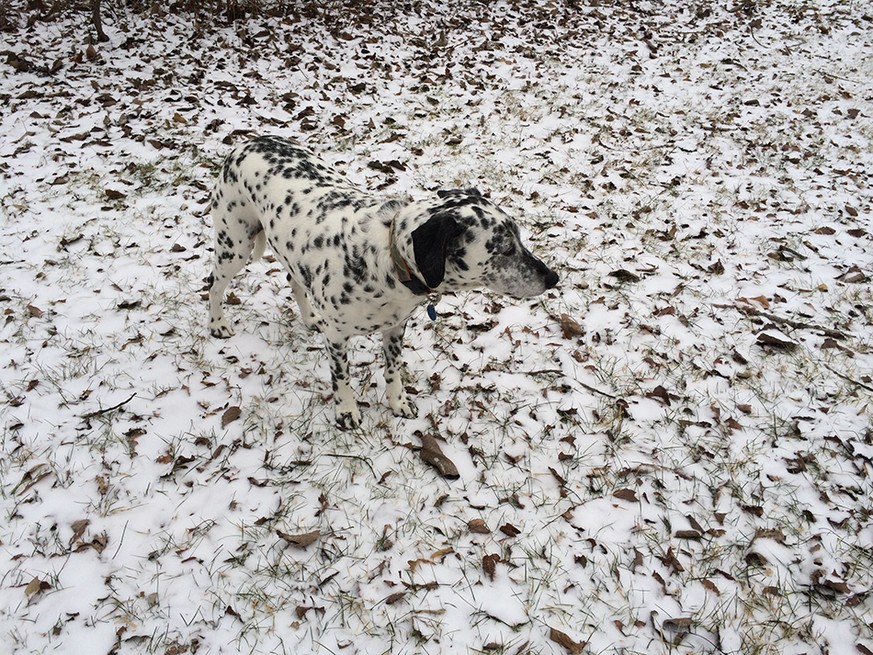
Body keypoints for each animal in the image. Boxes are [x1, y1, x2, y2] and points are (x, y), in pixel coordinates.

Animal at [208, 136, 556, 428]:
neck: (387, 259)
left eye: (519, 238)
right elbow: (341, 377)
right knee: (214, 284)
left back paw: (310, 317)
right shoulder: (337, 337)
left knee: (293, 280)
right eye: (506, 248)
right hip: (234, 244)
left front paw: (398, 402)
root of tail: (246, 142)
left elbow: (392, 369)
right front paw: (346, 411)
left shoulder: (395, 327)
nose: (553, 278)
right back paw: (217, 324)